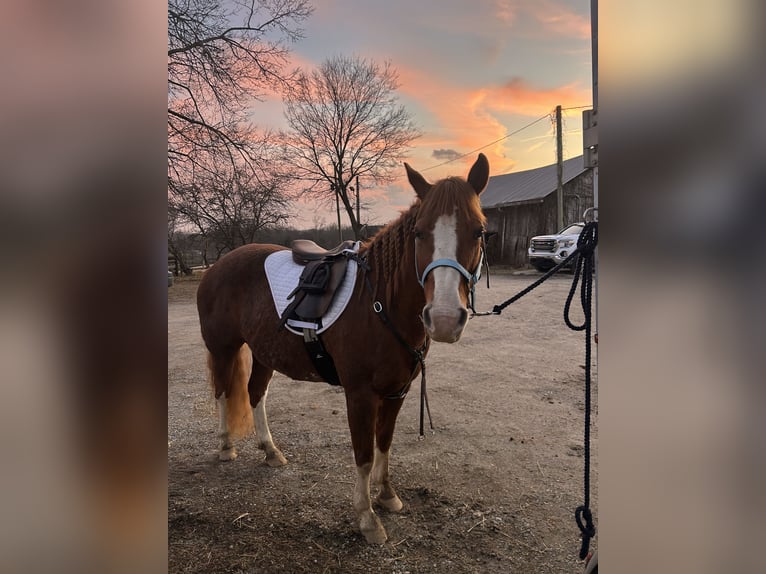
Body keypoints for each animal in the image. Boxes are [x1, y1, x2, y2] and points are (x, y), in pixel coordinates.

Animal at [196, 154, 489, 544]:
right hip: (224, 348)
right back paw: (226, 446)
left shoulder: (397, 391)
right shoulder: (359, 393)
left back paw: (271, 451)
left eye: (479, 231)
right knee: (223, 393)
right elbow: (363, 453)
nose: (443, 318)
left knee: (255, 394)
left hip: (263, 353)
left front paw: (387, 496)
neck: (377, 303)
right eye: (419, 232)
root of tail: (217, 265)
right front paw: (367, 518)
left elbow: (384, 443)